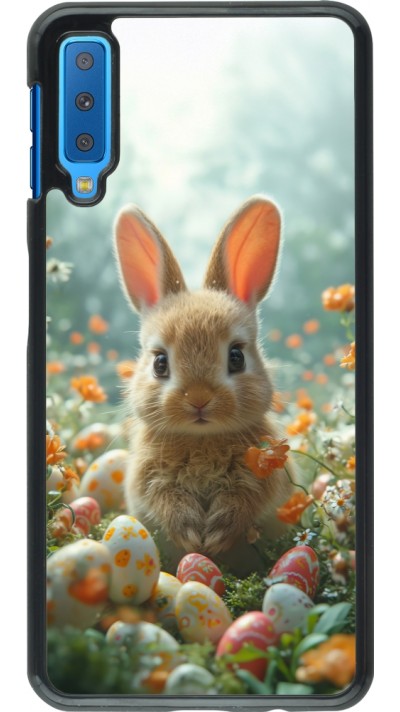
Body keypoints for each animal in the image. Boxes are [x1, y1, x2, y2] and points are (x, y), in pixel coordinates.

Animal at [114, 196, 294, 575]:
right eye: (160, 363)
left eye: (236, 357)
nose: (198, 399)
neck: (201, 439)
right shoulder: (148, 479)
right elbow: (165, 500)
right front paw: (192, 534)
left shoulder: (264, 474)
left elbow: (245, 500)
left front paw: (216, 535)